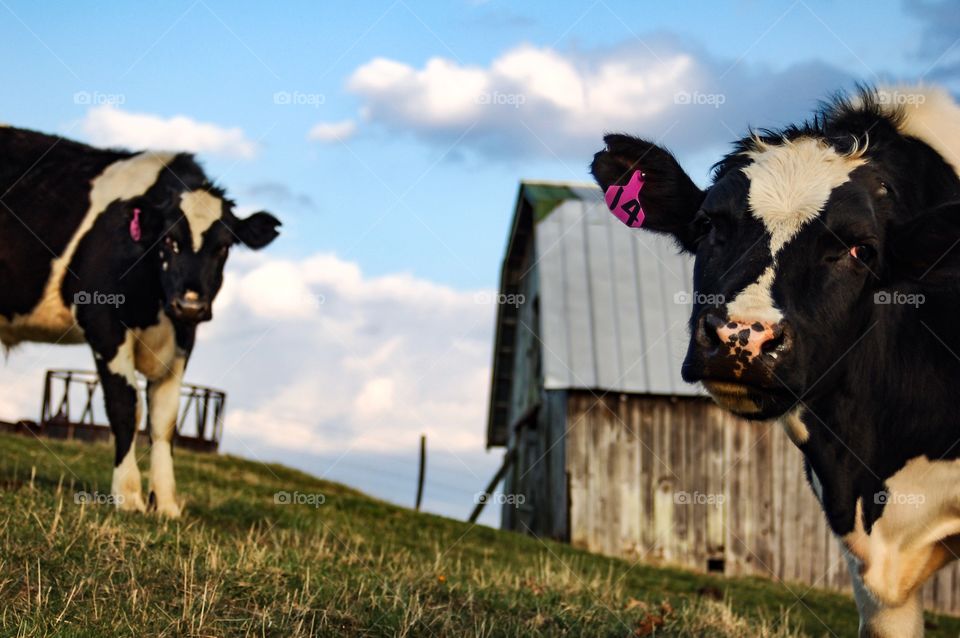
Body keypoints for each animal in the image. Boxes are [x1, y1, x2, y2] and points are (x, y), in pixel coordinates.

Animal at [0, 129, 284, 520]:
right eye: (169, 240)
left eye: (224, 247)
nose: (190, 304)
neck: (156, 307)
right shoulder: (102, 320)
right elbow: (125, 405)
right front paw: (128, 495)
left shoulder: (183, 336)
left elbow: (164, 420)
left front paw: (165, 503)